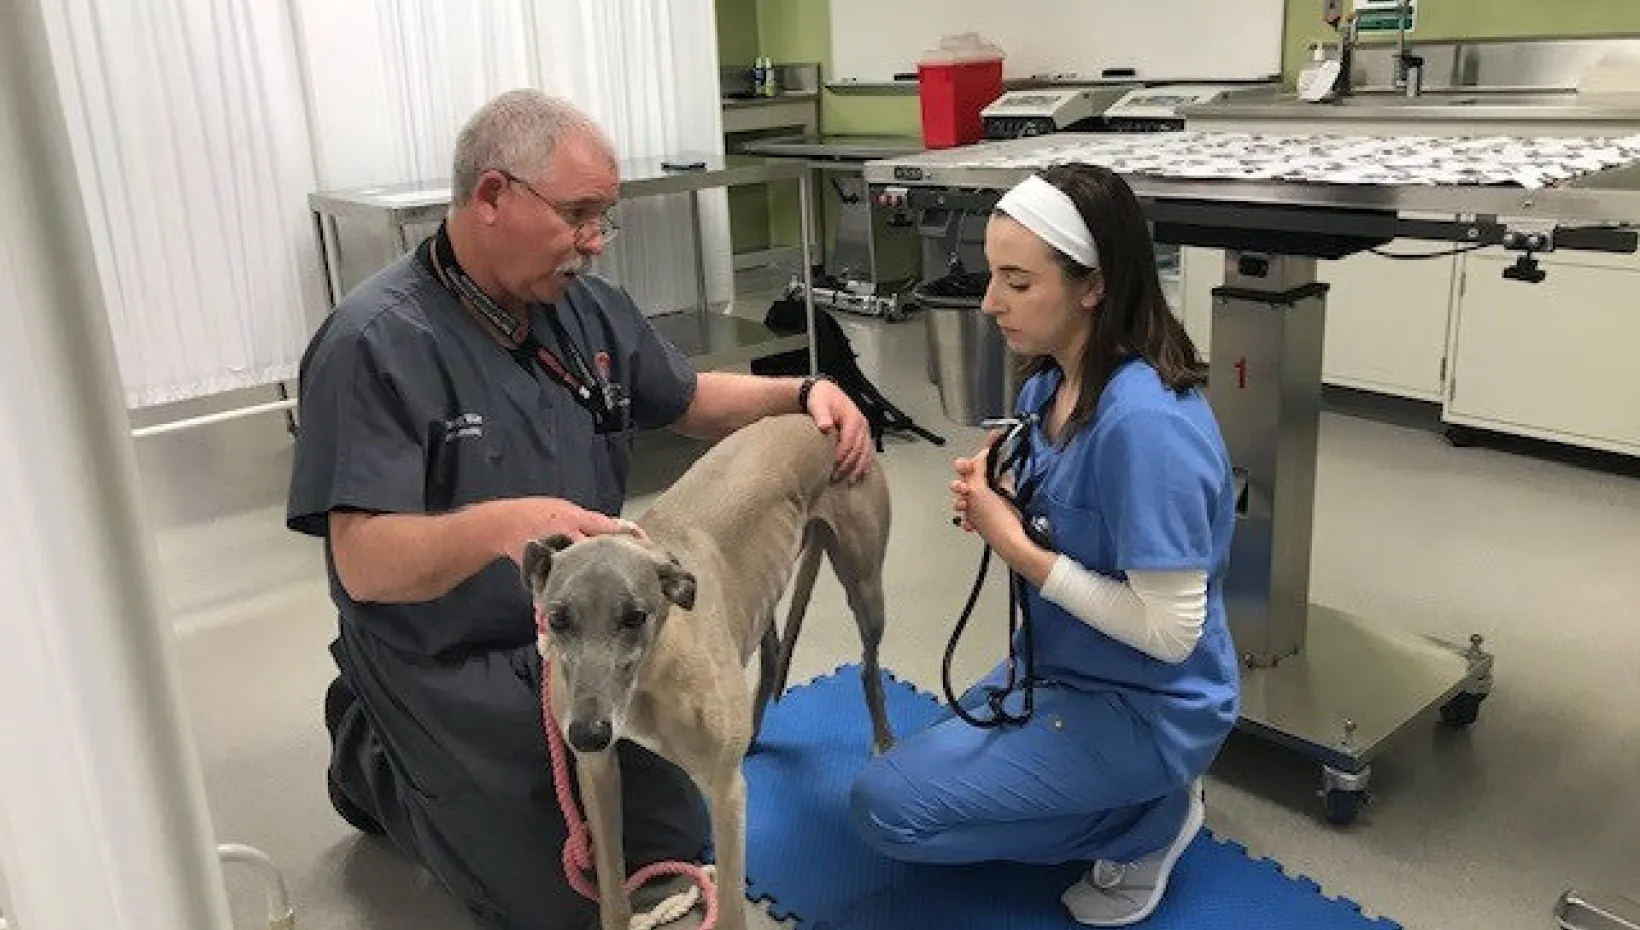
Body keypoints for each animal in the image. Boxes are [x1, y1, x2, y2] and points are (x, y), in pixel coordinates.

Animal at [521, 414, 892, 930]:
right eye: (557, 619)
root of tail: (815, 415)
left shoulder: (725, 792)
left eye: (634, 616)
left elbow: (734, 907)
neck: (651, 673)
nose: (588, 733)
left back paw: (883, 741)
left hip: (864, 585)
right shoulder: (596, 772)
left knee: (868, 669)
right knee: (772, 656)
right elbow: (612, 890)